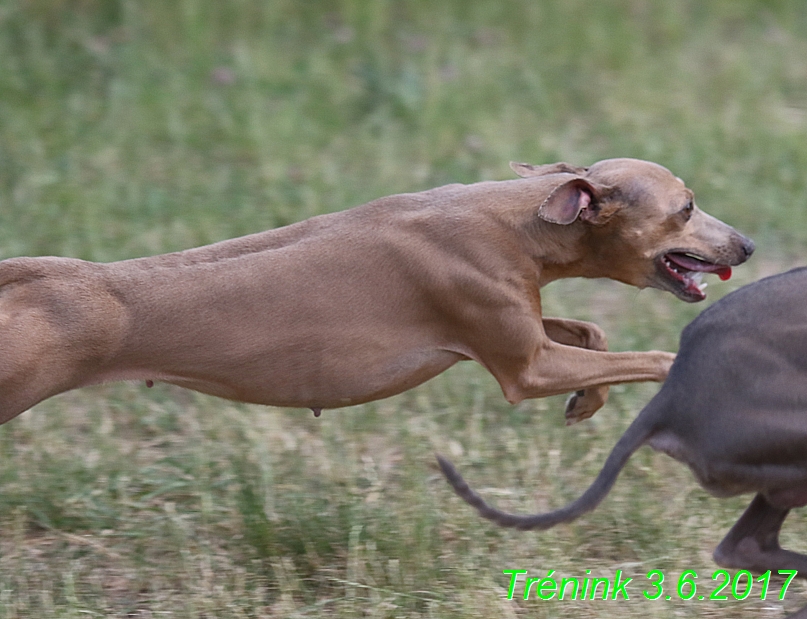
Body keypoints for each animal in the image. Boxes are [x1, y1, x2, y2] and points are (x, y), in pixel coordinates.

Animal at [0, 157, 756, 424]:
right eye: (687, 207)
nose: (746, 245)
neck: (515, 221)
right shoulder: (525, 367)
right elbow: (653, 356)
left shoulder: (520, 330)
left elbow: (593, 333)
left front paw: (587, 401)